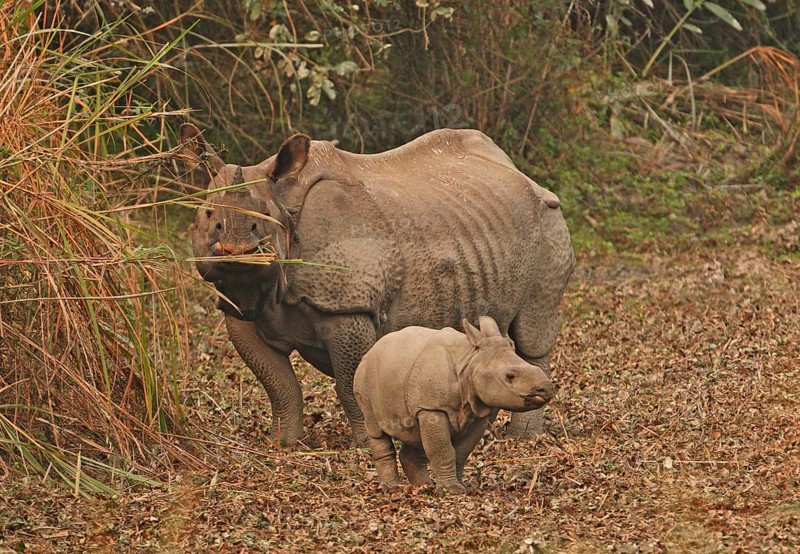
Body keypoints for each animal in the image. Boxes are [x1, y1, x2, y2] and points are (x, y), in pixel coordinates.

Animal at [179, 123, 574, 445]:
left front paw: (364, 447)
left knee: (533, 332)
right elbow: (279, 384)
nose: (238, 248)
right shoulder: (239, 309)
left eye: (263, 218)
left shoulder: (348, 308)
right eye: (208, 215)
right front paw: (284, 443)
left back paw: (523, 436)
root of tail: (518, 172)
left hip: (548, 219)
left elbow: (349, 381)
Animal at [354, 316, 554, 493]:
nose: (546, 388)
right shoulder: (433, 408)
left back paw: (424, 486)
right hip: (364, 377)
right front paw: (452, 490)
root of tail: (372, 349)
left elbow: (461, 452)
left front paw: (460, 486)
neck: (471, 361)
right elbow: (443, 450)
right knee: (376, 429)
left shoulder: (476, 412)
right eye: (510, 376)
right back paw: (393, 488)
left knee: (415, 432)